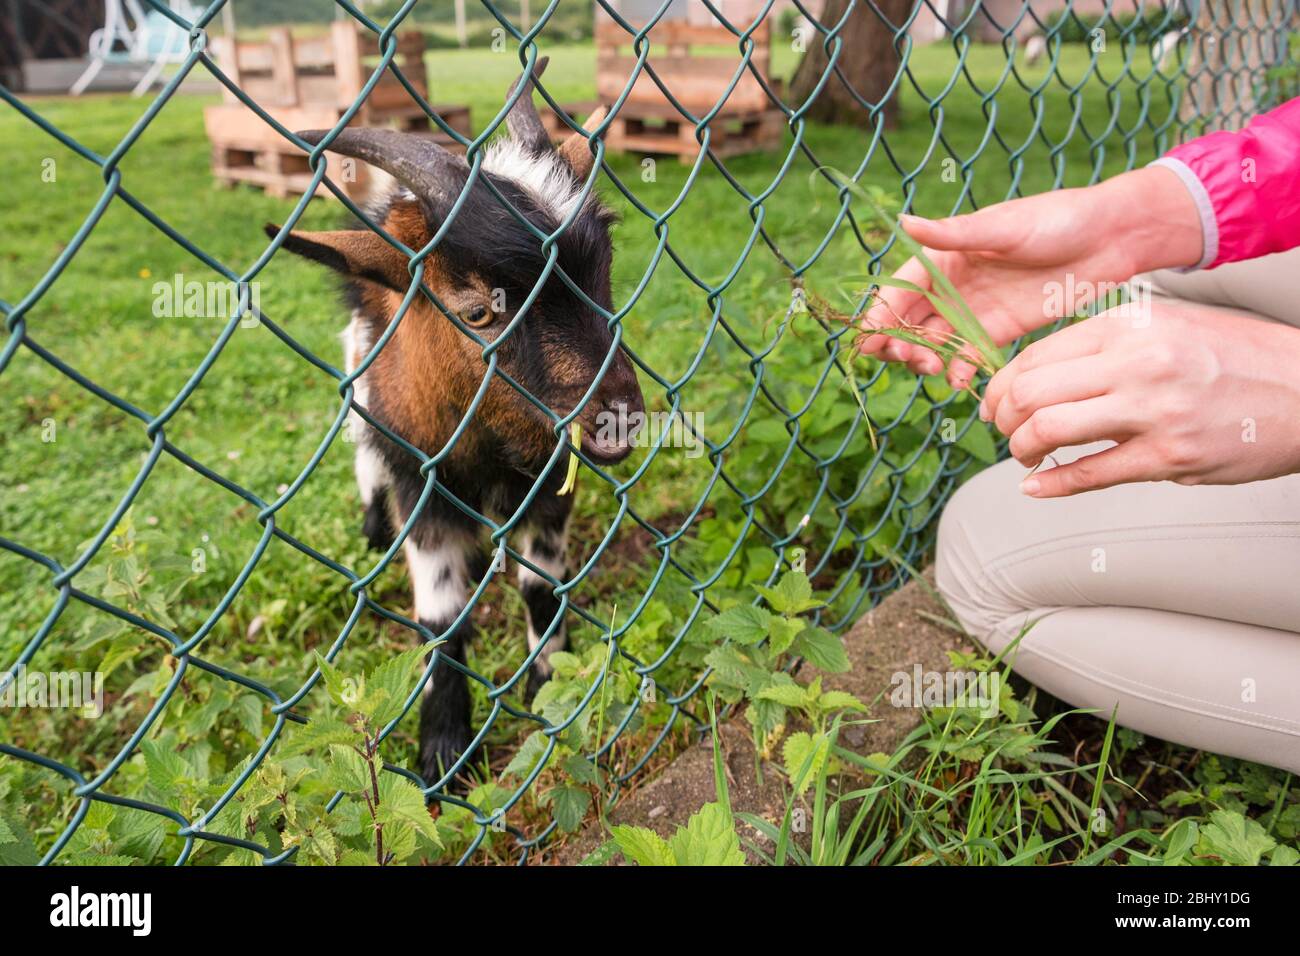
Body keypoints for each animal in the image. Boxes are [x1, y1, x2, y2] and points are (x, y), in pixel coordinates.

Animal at [267, 61, 644, 790]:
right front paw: (443, 749)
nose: (619, 421)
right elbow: (440, 621)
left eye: (606, 268)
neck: (487, 452)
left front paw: (547, 684)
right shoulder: (424, 492)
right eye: (477, 312)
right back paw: (372, 525)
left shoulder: (548, 488)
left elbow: (541, 589)